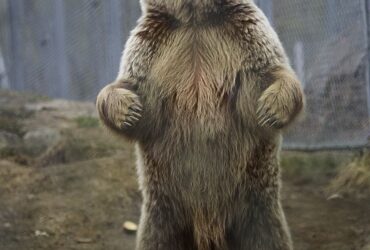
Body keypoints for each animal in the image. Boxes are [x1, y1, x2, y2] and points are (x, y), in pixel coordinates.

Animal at [95, 0, 304, 250]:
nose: (270, 109)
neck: (194, 18)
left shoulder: (242, 37)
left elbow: (269, 72)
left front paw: (270, 108)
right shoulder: (153, 48)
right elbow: (133, 88)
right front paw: (128, 110)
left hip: (254, 200)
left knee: (267, 236)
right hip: (165, 209)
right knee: (157, 238)